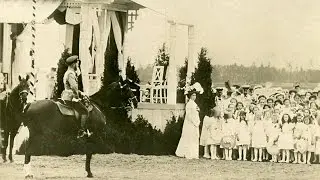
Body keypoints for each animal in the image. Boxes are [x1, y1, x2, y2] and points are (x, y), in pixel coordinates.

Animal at [3, 78, 137, 178]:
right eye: (127, 88)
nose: (135, 101)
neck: (98, 105)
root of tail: (30, 105)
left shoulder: (88, 137)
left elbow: (88, 153)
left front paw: (87, 171)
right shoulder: (94, 135)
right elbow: (89, 153)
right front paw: (89, 173)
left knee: (27, 152)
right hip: (37, 135)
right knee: (28, 152)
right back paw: (28, 174)